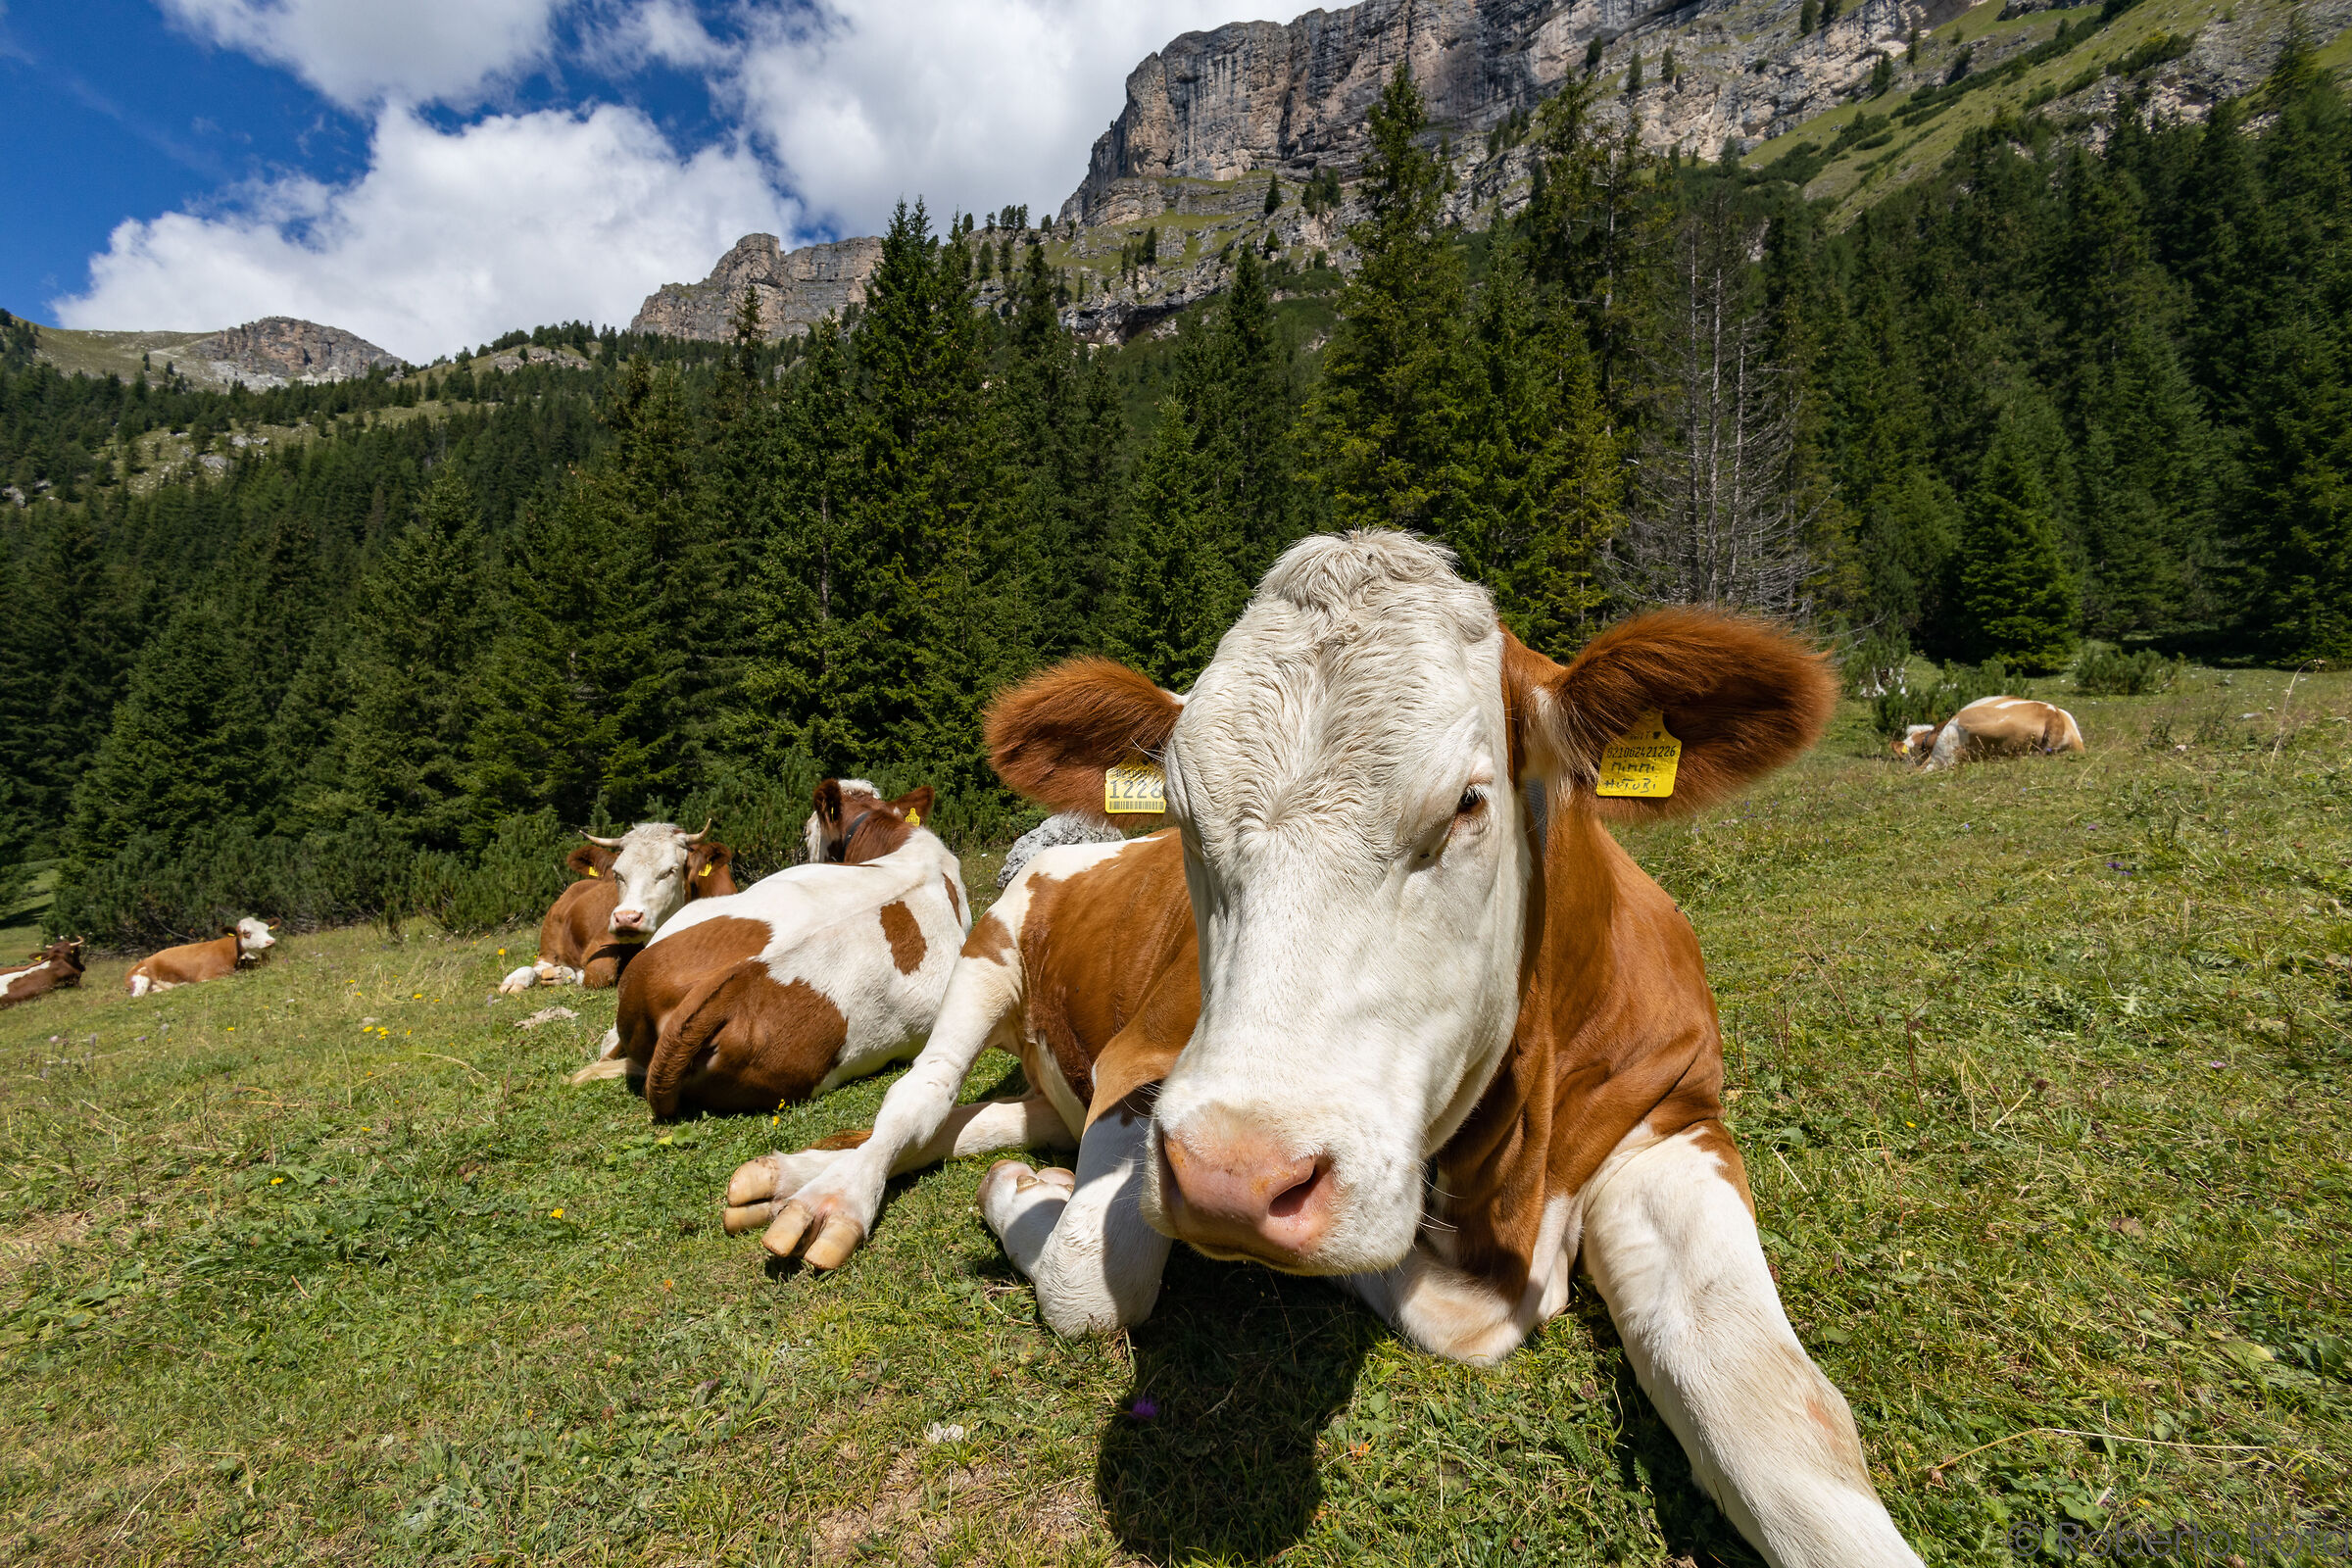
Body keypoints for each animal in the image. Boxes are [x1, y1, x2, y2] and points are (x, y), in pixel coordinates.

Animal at [496, 822, 737, 994]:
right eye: (617, 873)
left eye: (671, 870)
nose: (626, 918)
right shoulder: (602, 941)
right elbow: (599, 973)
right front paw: (577, 975)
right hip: (550, 938)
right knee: (539, 964)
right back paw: (519, 979)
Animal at [724, 533, 1921, 1567]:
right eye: (1185, 817)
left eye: (1469, 803)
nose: (1233, 1180)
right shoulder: (1148, 1069)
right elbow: (1088, 1281)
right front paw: (1031, 1200)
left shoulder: (1673, 1120)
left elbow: (1777, 1416)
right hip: (992, 954)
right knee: (920, 1102)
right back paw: (827, 1191)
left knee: (979, 1115)